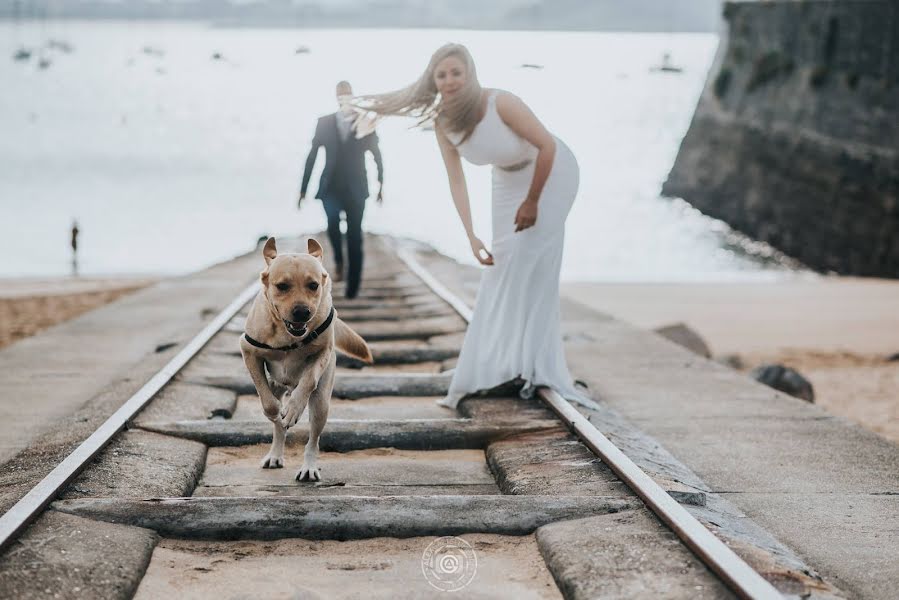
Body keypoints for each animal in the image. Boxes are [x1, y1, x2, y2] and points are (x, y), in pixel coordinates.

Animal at [239, 237, 372, 480]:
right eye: (282, 286)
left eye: (313, 285)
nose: (302, 312)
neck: (287, 335)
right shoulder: (248, 351)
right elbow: (269, 405)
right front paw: (279, 413)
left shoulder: (323, 351)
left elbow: (308, 380)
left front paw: (293, 409)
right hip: (277, 386)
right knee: (277, 422)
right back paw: (275, 453)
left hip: (321, 403)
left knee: (313, 439)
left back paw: (308, 467)